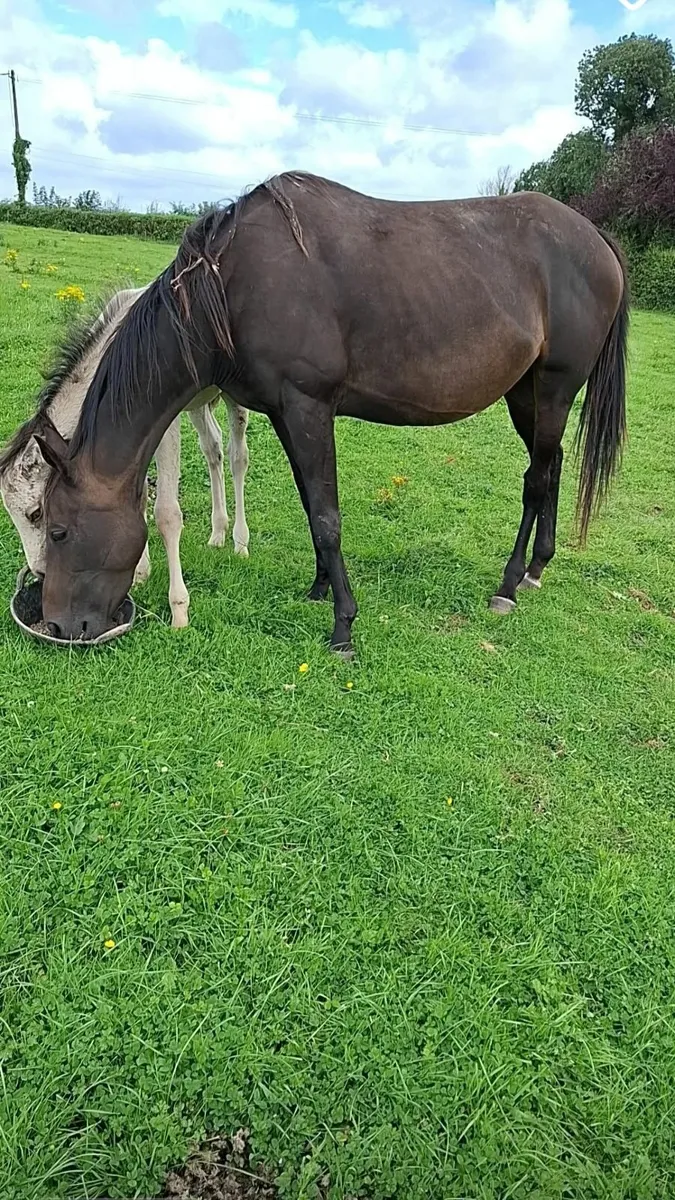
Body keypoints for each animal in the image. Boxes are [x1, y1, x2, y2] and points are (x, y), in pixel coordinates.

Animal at [0, 287, 250, 628]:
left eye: (36, 513)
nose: (39, 570)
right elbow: (137, 496)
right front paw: (141, 574)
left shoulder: (162, 424)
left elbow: (167, 513)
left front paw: (179, 610)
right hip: (198, 403)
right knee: (213, 448)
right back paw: (217, 533)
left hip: (231, 395)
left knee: (239, 456)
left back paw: (240, 542)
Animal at [36, 172, 628, 654]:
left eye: (57, 530)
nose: (56, 625)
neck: (231, 287)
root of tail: (597, 239)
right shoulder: (284, 413)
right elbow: (310, 504)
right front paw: (320, 588)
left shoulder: (308, 407)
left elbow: (326, 517)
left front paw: (343, 626)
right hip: (524, 395)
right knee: (550, 466)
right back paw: (536, 569)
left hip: (554, 389)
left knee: (536, 480)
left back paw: (508, 585)